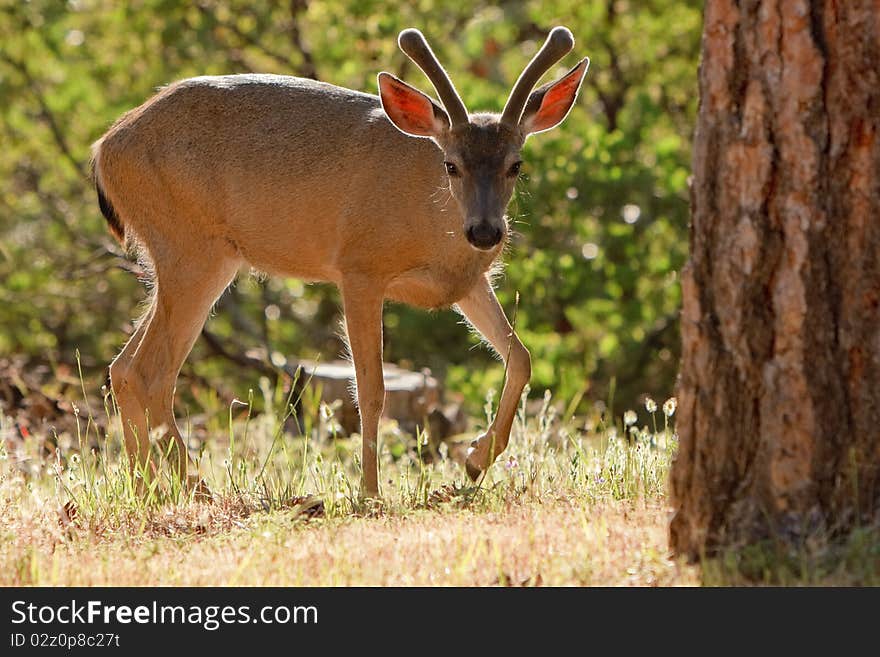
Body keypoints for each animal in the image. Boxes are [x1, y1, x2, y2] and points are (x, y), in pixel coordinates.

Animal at [91, 25, 592, 498]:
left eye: (516, 164)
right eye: (451, 164)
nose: (485, 231)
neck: (434, 227)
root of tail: (104, 149)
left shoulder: (466, 284)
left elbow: (521, 357)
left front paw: (474, 460)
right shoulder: (359, 267)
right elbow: (371, 390)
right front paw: (371, 492)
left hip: (192, 258)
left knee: (124, 368)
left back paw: (148, 489)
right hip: (191, 249)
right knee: (149, 371)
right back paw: (195, 489)